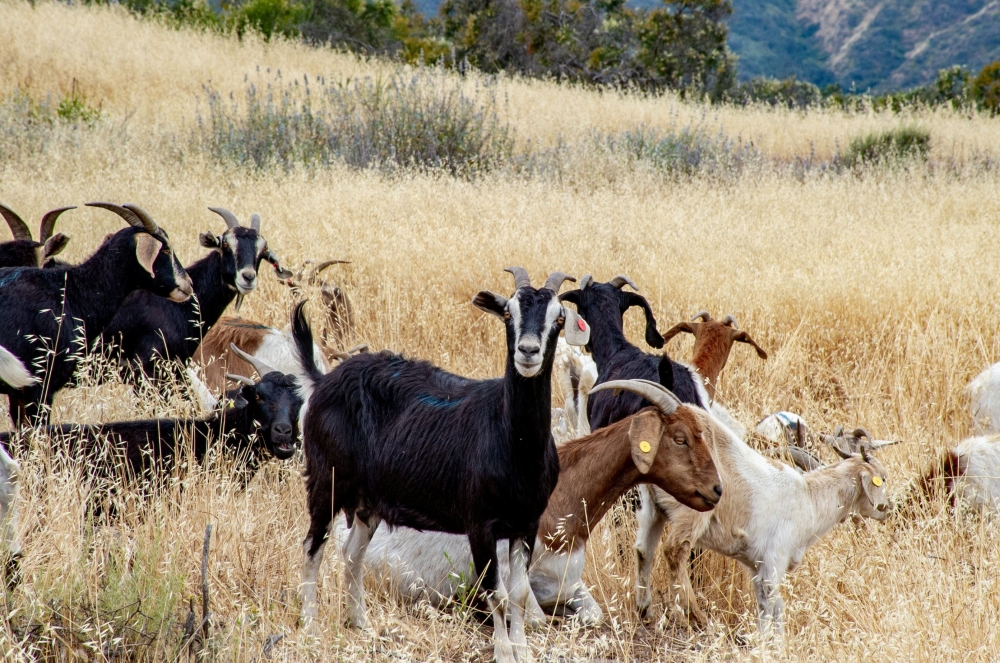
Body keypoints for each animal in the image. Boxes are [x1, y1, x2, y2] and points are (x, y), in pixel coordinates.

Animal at [293, 269, 589, 663]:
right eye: (507, 313)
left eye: (558, 318)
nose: (528, 351)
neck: (512, 443)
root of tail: (324, 380)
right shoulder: (480, 525)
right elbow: (495, 593)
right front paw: (503, 653)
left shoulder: (526, 523)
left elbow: (520, 594)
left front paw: (523, 653)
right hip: (327, 480)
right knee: (313, 545)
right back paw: (311, 627)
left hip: (369, 502)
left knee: (352, 553)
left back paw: (361, 624)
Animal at [339, 378, 722, 626]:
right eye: (680, 438)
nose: (716, 490)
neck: (564, 499)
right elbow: (535, 617)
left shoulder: (569, 581)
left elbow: (593, 614)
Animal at [634, 428, 891, 639]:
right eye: (882, 478)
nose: (888, 508)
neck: (809, 497)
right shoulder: (774, 558)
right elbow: (771, 600)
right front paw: (767, 640)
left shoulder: (755, 564)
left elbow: (769, 603)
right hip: (691, 513)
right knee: (674, 549)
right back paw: (697, 618)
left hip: (652, 508)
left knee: (643, 549)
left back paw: (645, 610)